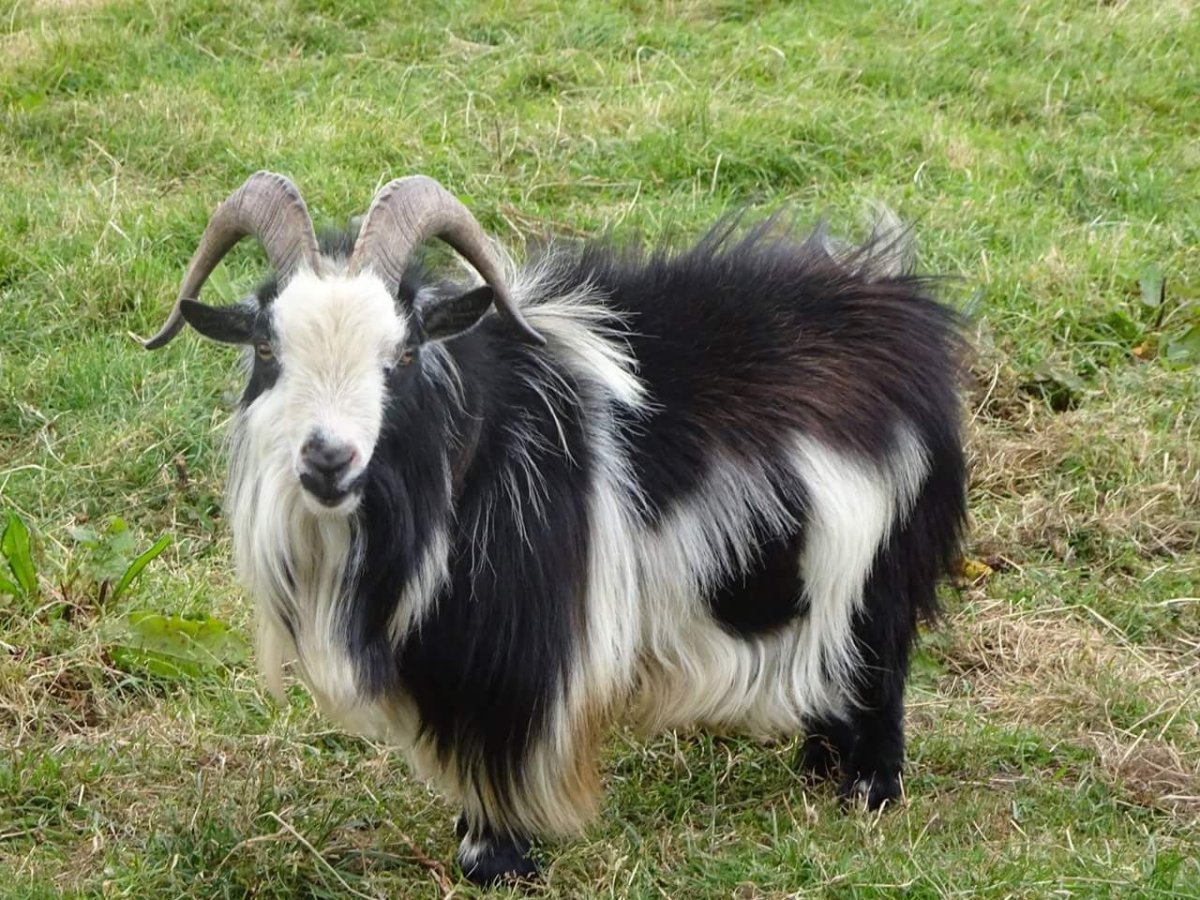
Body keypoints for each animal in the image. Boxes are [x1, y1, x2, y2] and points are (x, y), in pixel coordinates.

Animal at [143, 171, 967, 885]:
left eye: (404, 352)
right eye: (267, 348)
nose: (327, 460)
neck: (476, 451)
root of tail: (894, 297)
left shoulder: (525, 642)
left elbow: (500, 745)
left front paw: (498, 862)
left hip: (882, 557)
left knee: (879, 664)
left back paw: (867, 791)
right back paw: (820, 765)